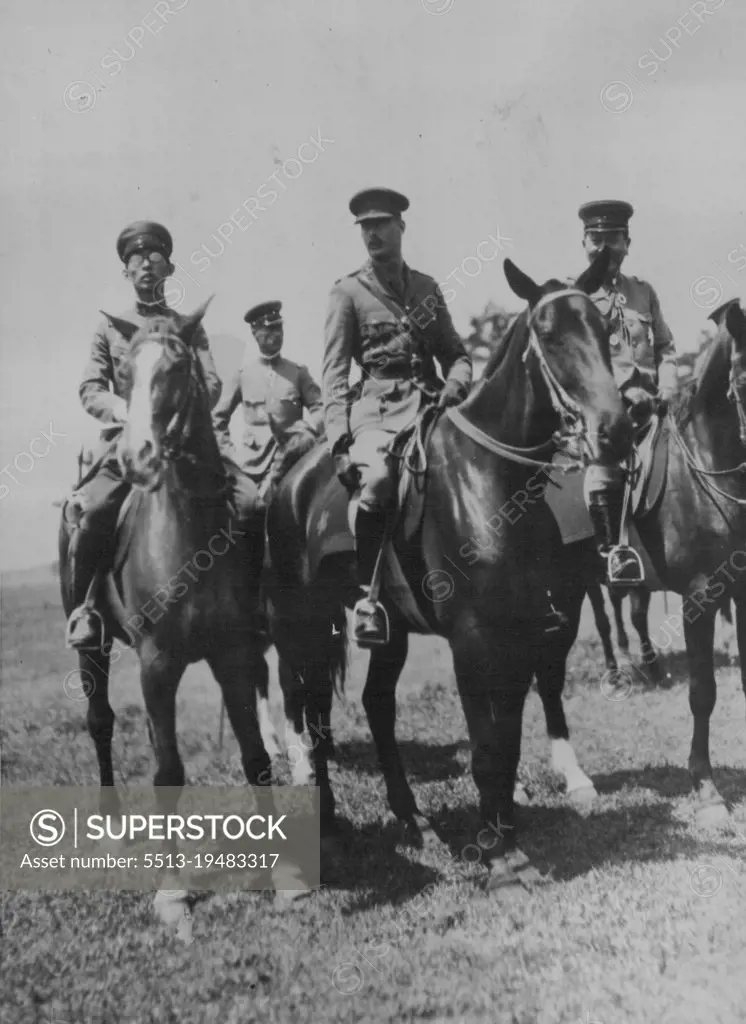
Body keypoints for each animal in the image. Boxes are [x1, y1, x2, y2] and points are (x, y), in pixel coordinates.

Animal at [58, 299, 272, 925]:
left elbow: (255, 757)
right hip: (97, 646)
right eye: (124, 375)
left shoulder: (233, 656)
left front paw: (284, 875)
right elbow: (168, 772)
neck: (187, 536)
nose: (137, 458)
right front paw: (173, 892)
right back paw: (112, 823)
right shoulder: (156, 663)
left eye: (178, 369)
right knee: (101, 722)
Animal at [264, 249, 630, 888]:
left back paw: (414, 821)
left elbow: (507, 742)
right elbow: (484, 744)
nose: (616, 428)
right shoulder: (473, 638)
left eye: (603, 328)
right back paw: (329, 827)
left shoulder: (521, 631)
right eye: (548, 332)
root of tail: (292, 478)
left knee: (374, 705)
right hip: (301, 624)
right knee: (306, 710)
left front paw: (505, 832)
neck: (492, 482)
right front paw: (503, 856)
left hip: (385, 631)